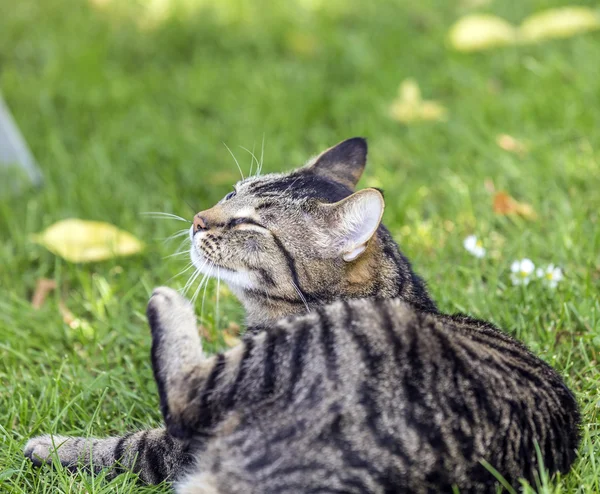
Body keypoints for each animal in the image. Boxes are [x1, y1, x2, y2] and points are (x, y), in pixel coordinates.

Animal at [25, 139, 580, 494]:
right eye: (230, 194)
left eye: (249, 223)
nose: (198, 220)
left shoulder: (184, 443)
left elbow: (130, 448)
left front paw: (52, 449)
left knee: (181, 397)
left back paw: (167, 304)